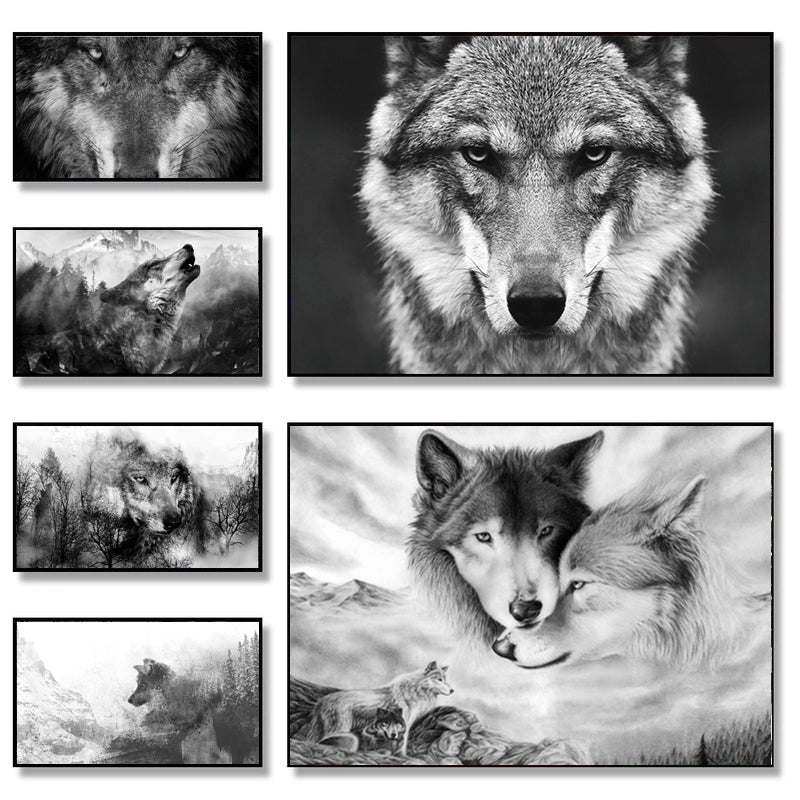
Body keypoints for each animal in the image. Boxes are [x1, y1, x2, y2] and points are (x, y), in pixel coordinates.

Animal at [307, 661, 453, 756]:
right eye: (439, 679)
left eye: (445, 679)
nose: (452, 690)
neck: (416, 689)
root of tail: (322, 701)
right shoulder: (404, 723)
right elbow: (403, 743)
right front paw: (402, 757)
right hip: (341, 729)